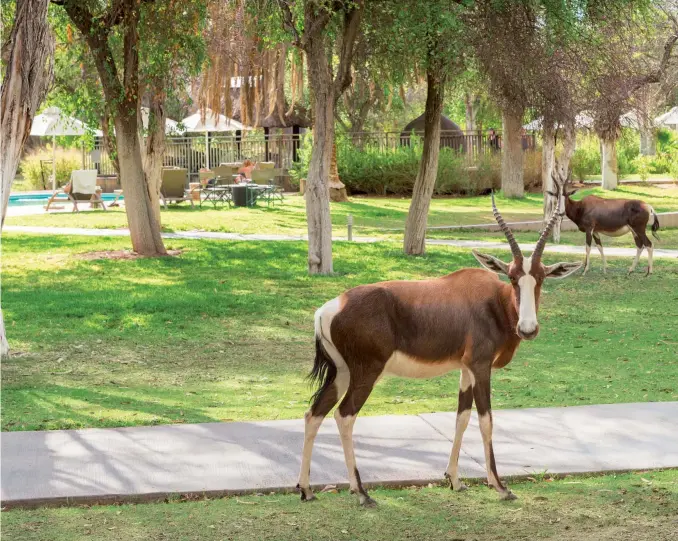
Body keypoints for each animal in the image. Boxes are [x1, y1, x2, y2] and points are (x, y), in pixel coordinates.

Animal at [298, 195, 584, 506]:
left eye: (541, 277)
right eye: (512, 277)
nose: (528, 329)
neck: (493, 301)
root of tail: (328, 309)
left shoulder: (465, 369)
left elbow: (462, 417)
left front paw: (455, 480)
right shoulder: (481, 367)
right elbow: (486, 420)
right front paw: (500, 486)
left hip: (342, 373)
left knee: (314, 413)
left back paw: (306, 490)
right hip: (366, 373)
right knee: (344, 415)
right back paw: (361, 492)